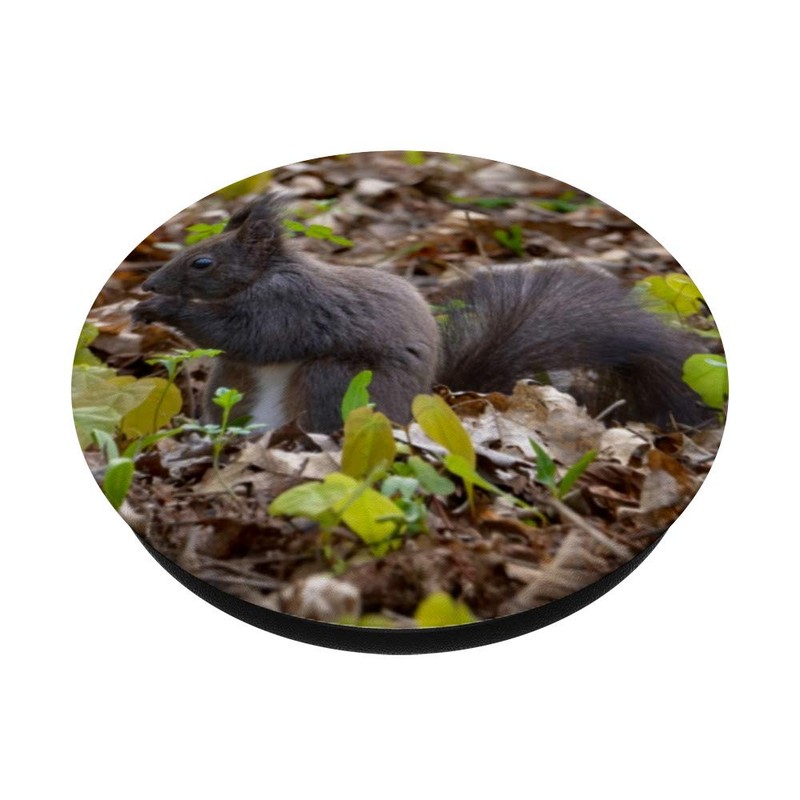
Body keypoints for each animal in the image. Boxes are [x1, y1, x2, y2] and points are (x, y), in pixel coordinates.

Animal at [133, 193, 710, 433]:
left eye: (202, 262)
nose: (148, 282)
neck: (265, 274)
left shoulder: (289, 305)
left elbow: (251, 334)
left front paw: (164, 307)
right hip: (231, 384)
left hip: (338, 382)